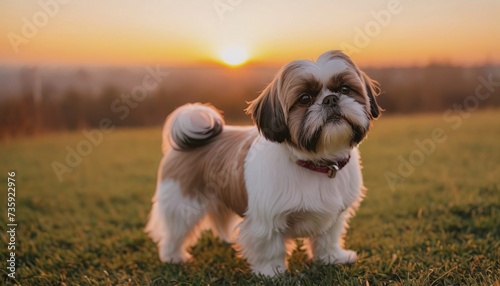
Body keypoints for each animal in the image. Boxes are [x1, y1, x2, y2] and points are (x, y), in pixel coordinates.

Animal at [146, 50, 380, 276]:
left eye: (345, 89)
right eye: (304, 98)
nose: (331, 99)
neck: (316, 163)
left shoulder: (335, 215)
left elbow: (327, 238)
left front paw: (332, 258)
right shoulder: (266, 220)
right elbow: (270, 247)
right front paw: (272, 272)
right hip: (182, 204)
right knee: (175, 231)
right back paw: (173, 256)